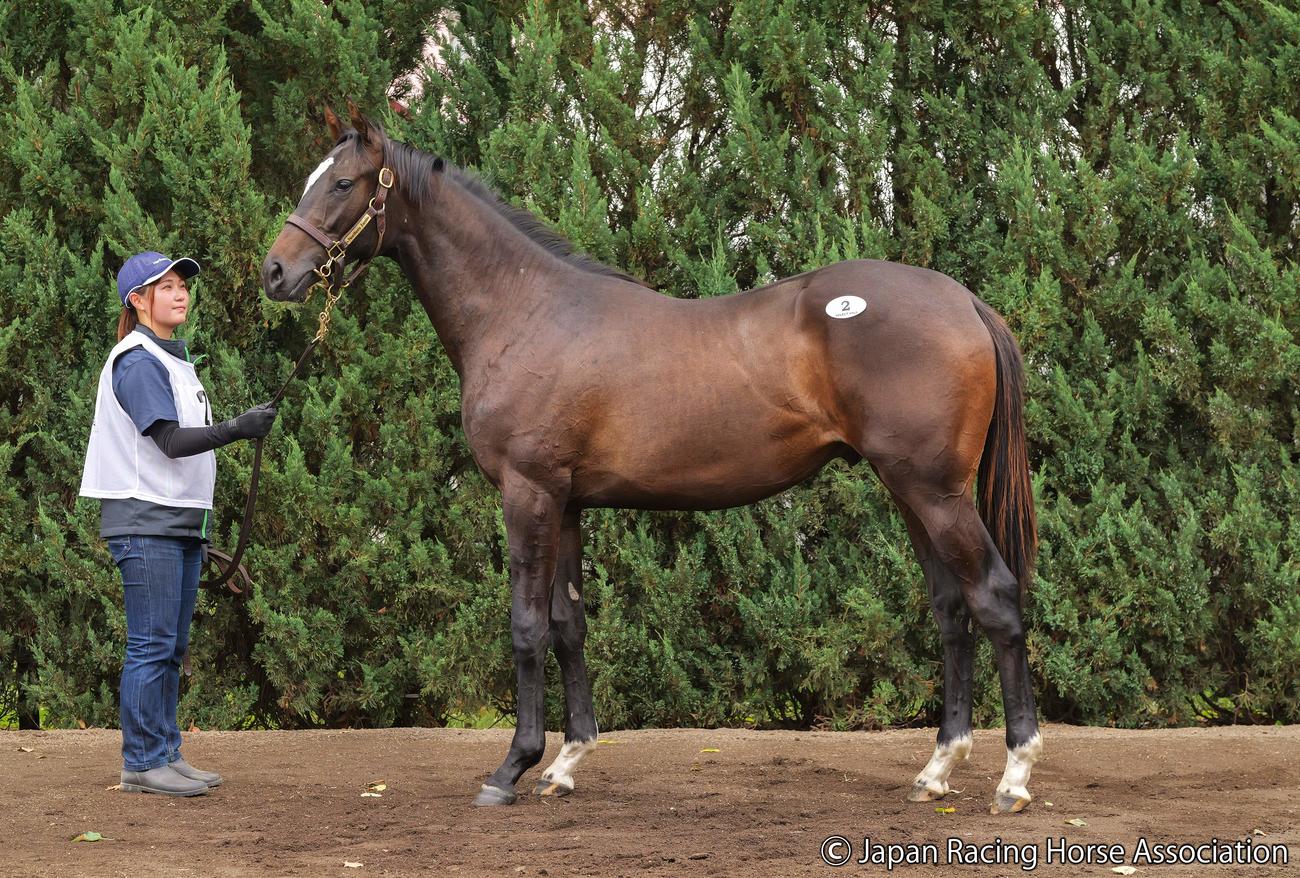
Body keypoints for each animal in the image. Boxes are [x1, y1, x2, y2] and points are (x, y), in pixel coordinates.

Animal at [261, 104, 1042, 814]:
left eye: (343, 183)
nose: (275, 273)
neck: (523, 311)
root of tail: (966, 303)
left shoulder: (527, 492)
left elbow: (525, 626)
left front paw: (511, 768)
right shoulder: (566, 504)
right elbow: (568, 625)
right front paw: (564, 764)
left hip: (936, 493)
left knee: (995, 599)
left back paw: (1014, 777)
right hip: (911, 492)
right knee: (951, 609)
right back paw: (936, 771)